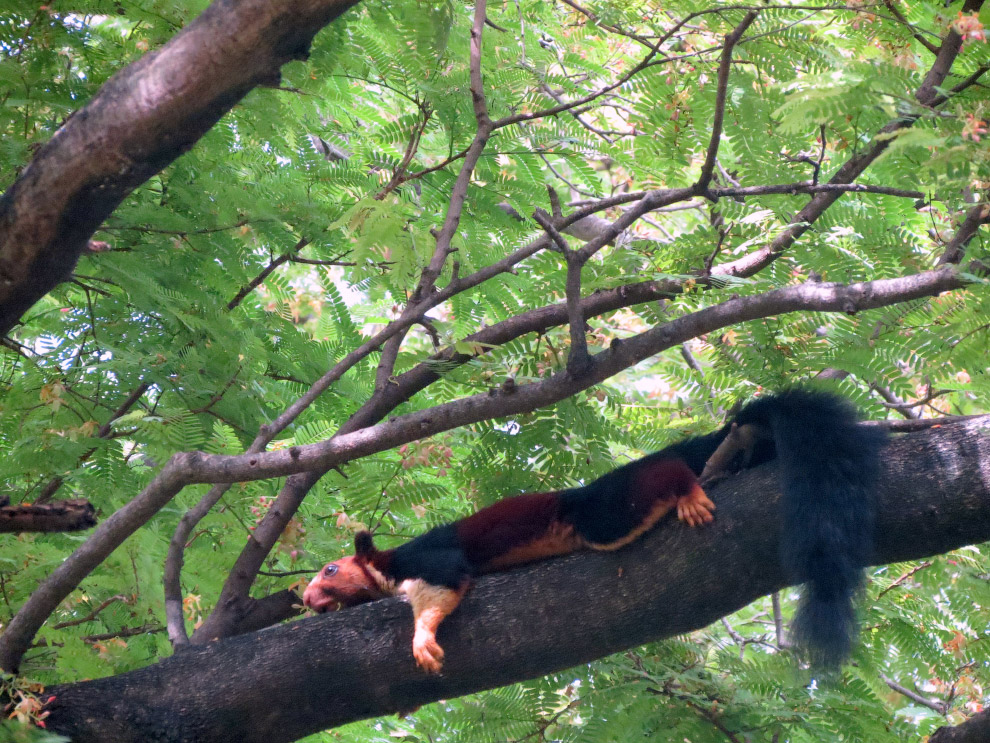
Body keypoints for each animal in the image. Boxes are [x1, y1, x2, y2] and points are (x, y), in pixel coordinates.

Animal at [303, 389, 884, 673]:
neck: (385, 566)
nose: (306, 599)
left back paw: (686, 489)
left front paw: (422, 640)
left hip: (603, 515)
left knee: (657, 480)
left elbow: (442, 587)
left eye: (330, 569)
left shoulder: (427, 558)